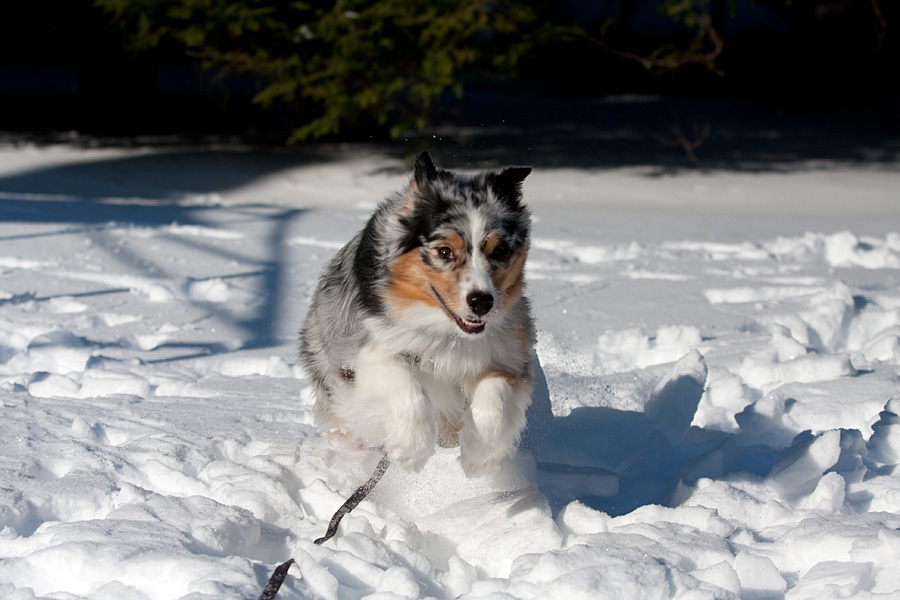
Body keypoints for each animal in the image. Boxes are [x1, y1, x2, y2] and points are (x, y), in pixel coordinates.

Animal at [300, 154, 536, 478]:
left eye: (499, 251)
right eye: (445, 251)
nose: (482, 302)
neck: (447, 332)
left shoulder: (506, 355)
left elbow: (496, 394)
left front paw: (481, 454)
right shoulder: (366, 355)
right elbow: (407, 387)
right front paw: (411, 449)